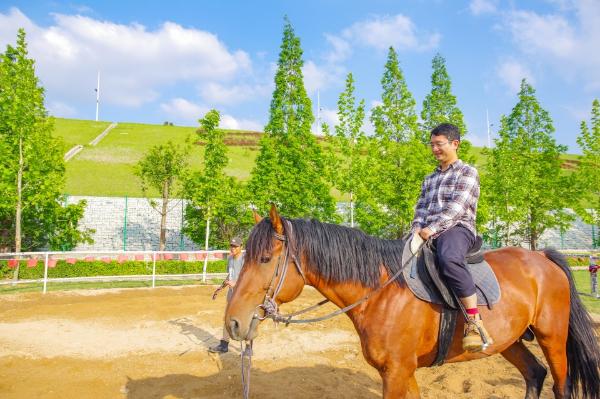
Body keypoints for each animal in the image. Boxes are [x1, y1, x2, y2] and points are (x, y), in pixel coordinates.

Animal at [225, 206, 600, 399]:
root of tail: (544, 258)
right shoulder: (403, 371)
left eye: (264, 259)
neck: (381, 293)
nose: (233, 322)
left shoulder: (396, 372)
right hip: (509, 341)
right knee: (534, 374)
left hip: (553, 338)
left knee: (561, 385)